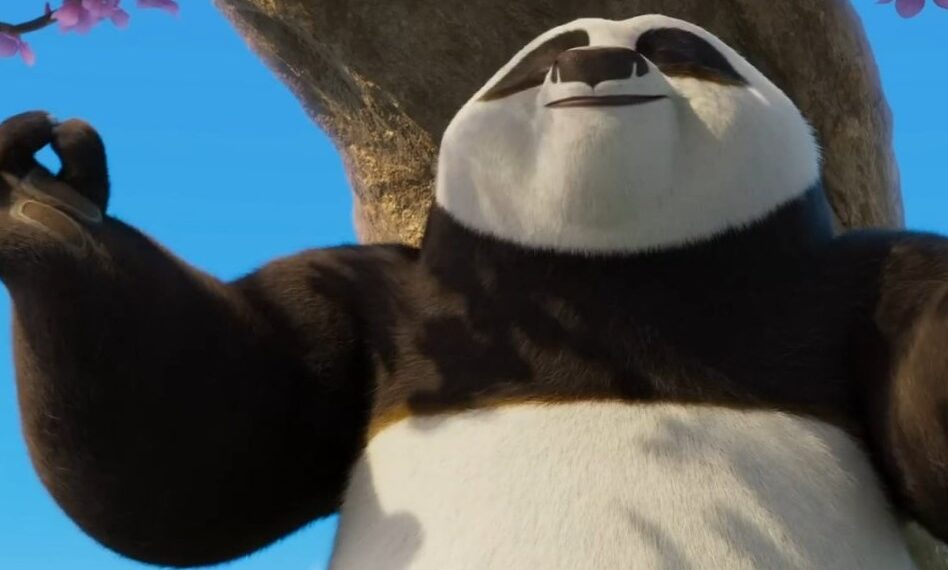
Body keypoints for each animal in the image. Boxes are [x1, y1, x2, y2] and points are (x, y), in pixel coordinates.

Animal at [0, 12, 945, 570]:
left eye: (676, 51)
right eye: (541, 62)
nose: (597, 62)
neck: (613, 275)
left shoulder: (841, 294)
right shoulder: (398, 310)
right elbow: (194, 451)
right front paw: (43, 202)